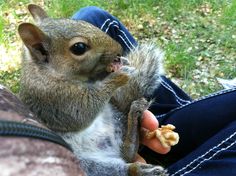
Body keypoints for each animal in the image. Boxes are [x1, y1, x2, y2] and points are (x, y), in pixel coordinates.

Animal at [18, 4, 179, 176]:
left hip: (115, 118)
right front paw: (120, 75)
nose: (119, 50)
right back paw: (142, 170)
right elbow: (82, 112)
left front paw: (123, 63)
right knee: (120, 167)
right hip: (84, 164)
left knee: (127, 152)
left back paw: (135, 116)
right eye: (79, 47)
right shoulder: (53, 99)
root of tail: (111, 152)